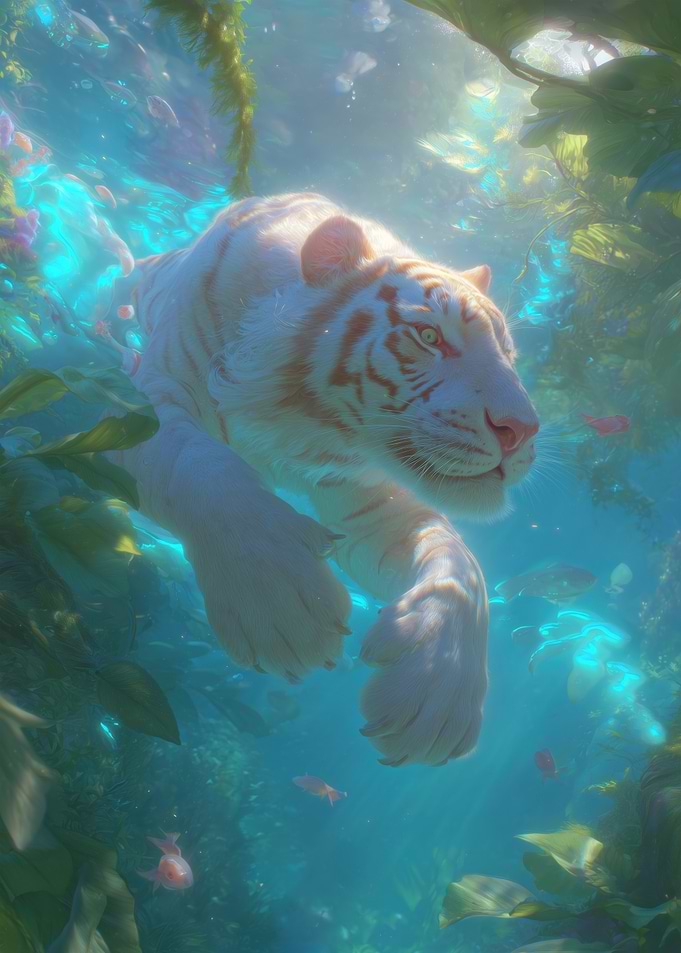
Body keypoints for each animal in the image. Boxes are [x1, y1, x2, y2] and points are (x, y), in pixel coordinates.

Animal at [108, 192, 539, 767]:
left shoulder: (369, 502)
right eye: (429, 336)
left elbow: (460, 564)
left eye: (509, 356)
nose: (523, 430)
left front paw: (437, 690)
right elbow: (201, 466)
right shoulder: (143, 402)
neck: (304, 425)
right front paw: (280, 604)